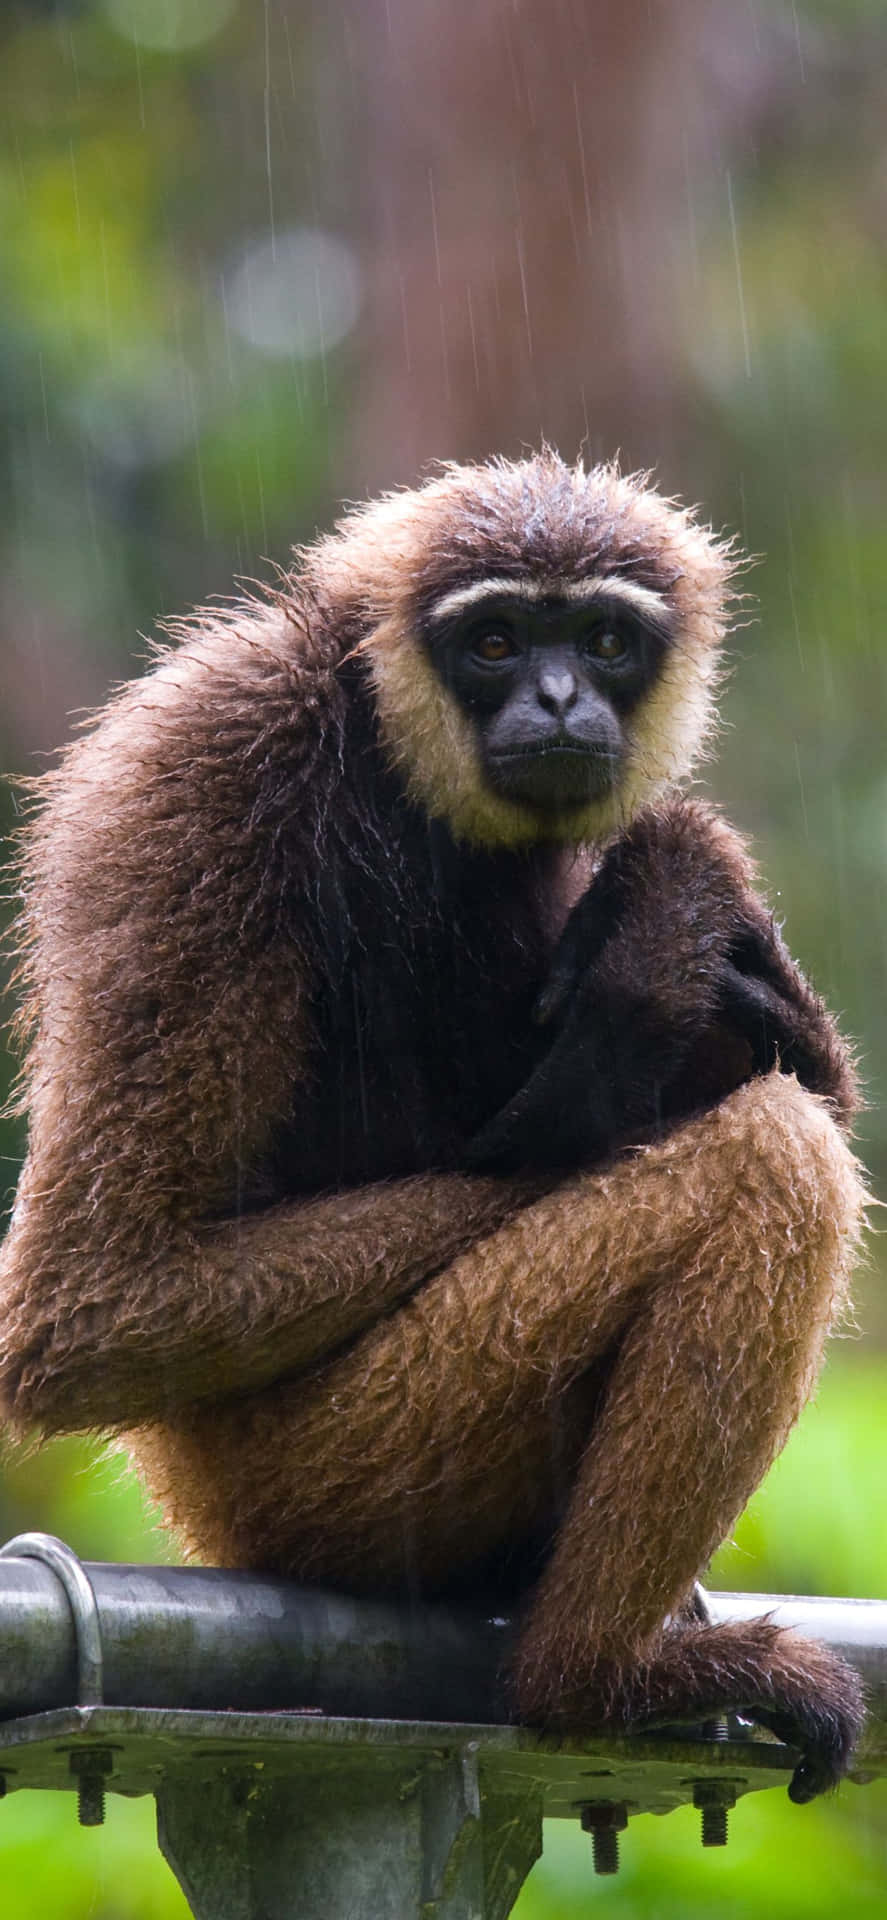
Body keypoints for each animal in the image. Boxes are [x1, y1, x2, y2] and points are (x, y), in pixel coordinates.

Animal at [0, 452, 867, 1806]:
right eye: (497, 641)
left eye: (603, 641)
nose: (559, 696)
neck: (384, 765)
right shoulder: (206, 755)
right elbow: (94, 1309)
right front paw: (641, 994)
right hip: (332, 1476)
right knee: (771, 1157)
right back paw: (592, 1679)